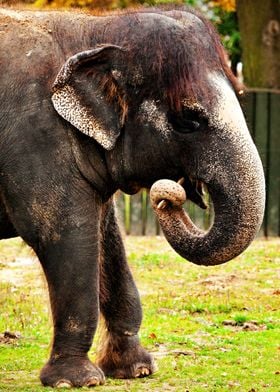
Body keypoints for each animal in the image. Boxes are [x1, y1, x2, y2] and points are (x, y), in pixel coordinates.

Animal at [0, 6, 264, 388]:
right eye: (189, 120)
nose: (167, 197)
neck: (94, 30)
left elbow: (107, 238)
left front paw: (135, 369)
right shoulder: (35, 140)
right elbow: (63, 236)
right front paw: (76, 381)